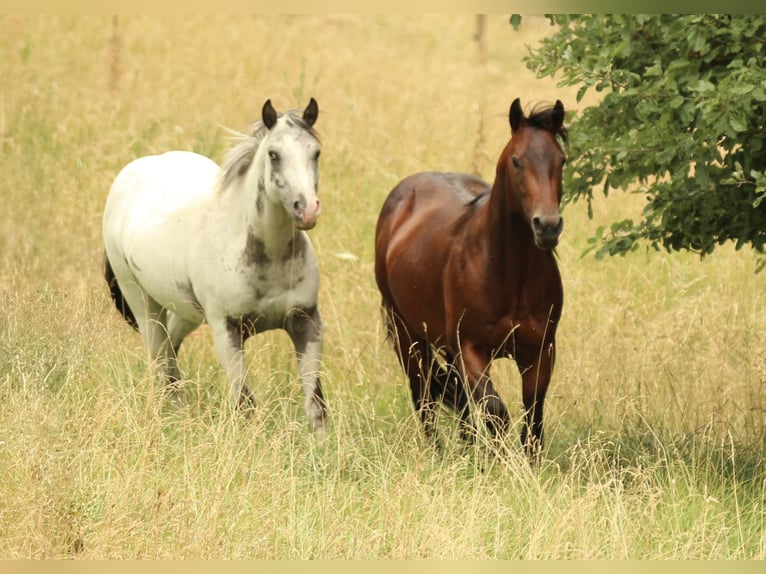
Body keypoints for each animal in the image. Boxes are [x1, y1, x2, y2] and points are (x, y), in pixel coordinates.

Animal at [102, 98, 326, 435]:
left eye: (316, 152)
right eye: (274, 154)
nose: (307, 210)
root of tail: (130, 174)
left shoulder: (305, 321)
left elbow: (315, 405)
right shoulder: (227, 330)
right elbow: (245, 404)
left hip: (186, 311)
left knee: (170, 350)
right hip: (142, 303)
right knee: (158, 358)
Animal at [374, 98, 567, 455]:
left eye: (561, 160)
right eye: (517, 161)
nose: (547, 227)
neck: (508, 274)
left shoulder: (540, 351)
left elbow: (533, 418)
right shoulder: (471, 351)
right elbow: (495, 410)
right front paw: (497, 458)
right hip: (407, 334)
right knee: (424, 395)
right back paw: (439, 453)